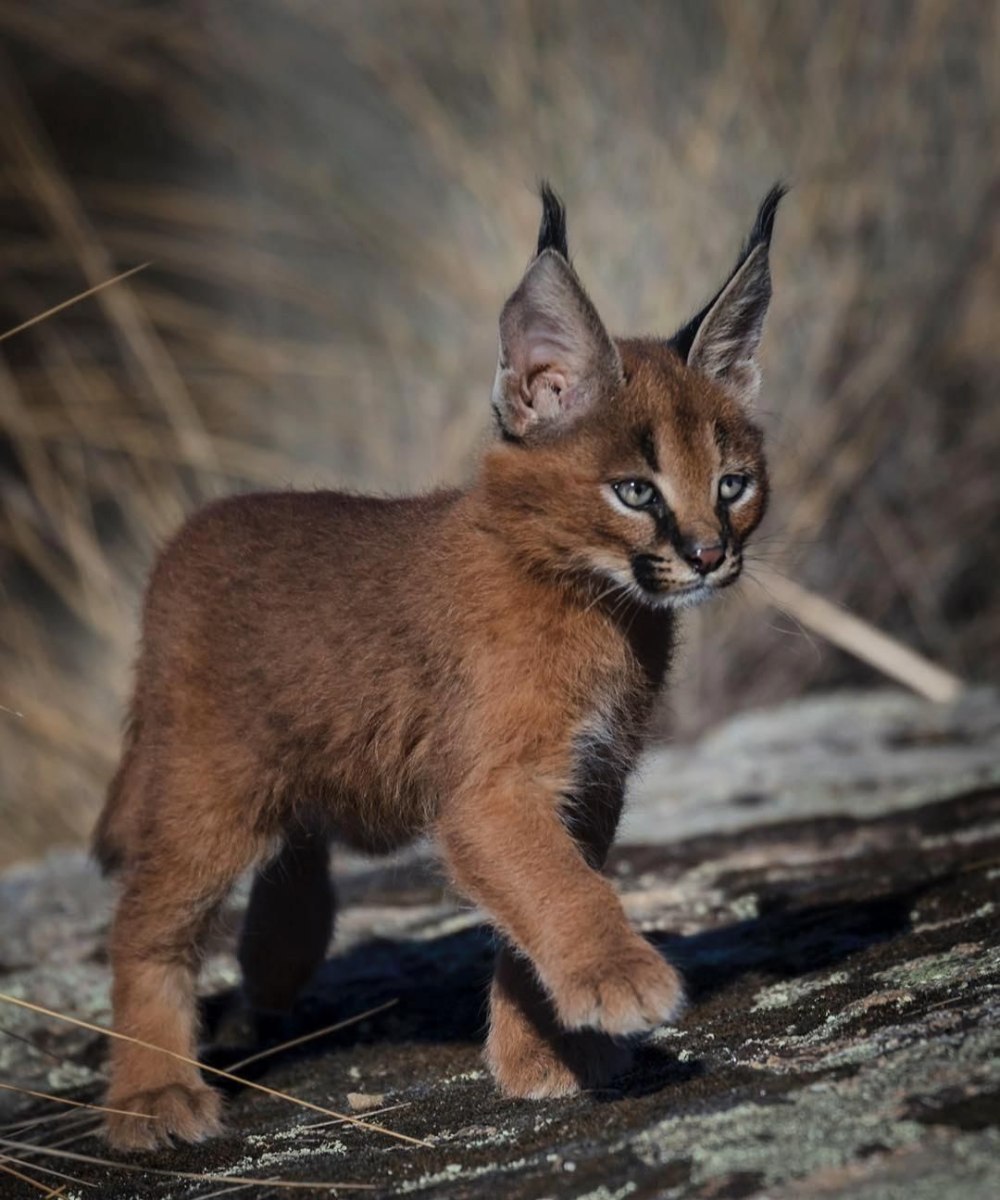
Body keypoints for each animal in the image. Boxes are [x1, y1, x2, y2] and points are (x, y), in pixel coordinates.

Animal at [95, 177, 777, 1142]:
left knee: (297, 842)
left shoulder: (589, 780)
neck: (597, 603)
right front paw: (620, 979)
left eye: (733, 484)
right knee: (146, 922)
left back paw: (275, 957)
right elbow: (561, 887)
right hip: (207, 786)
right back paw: (152, 1094)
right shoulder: (494, 788)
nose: (711, 554)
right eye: (635, 492)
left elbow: (534, 900)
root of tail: (188, 535)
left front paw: (543, 1055)